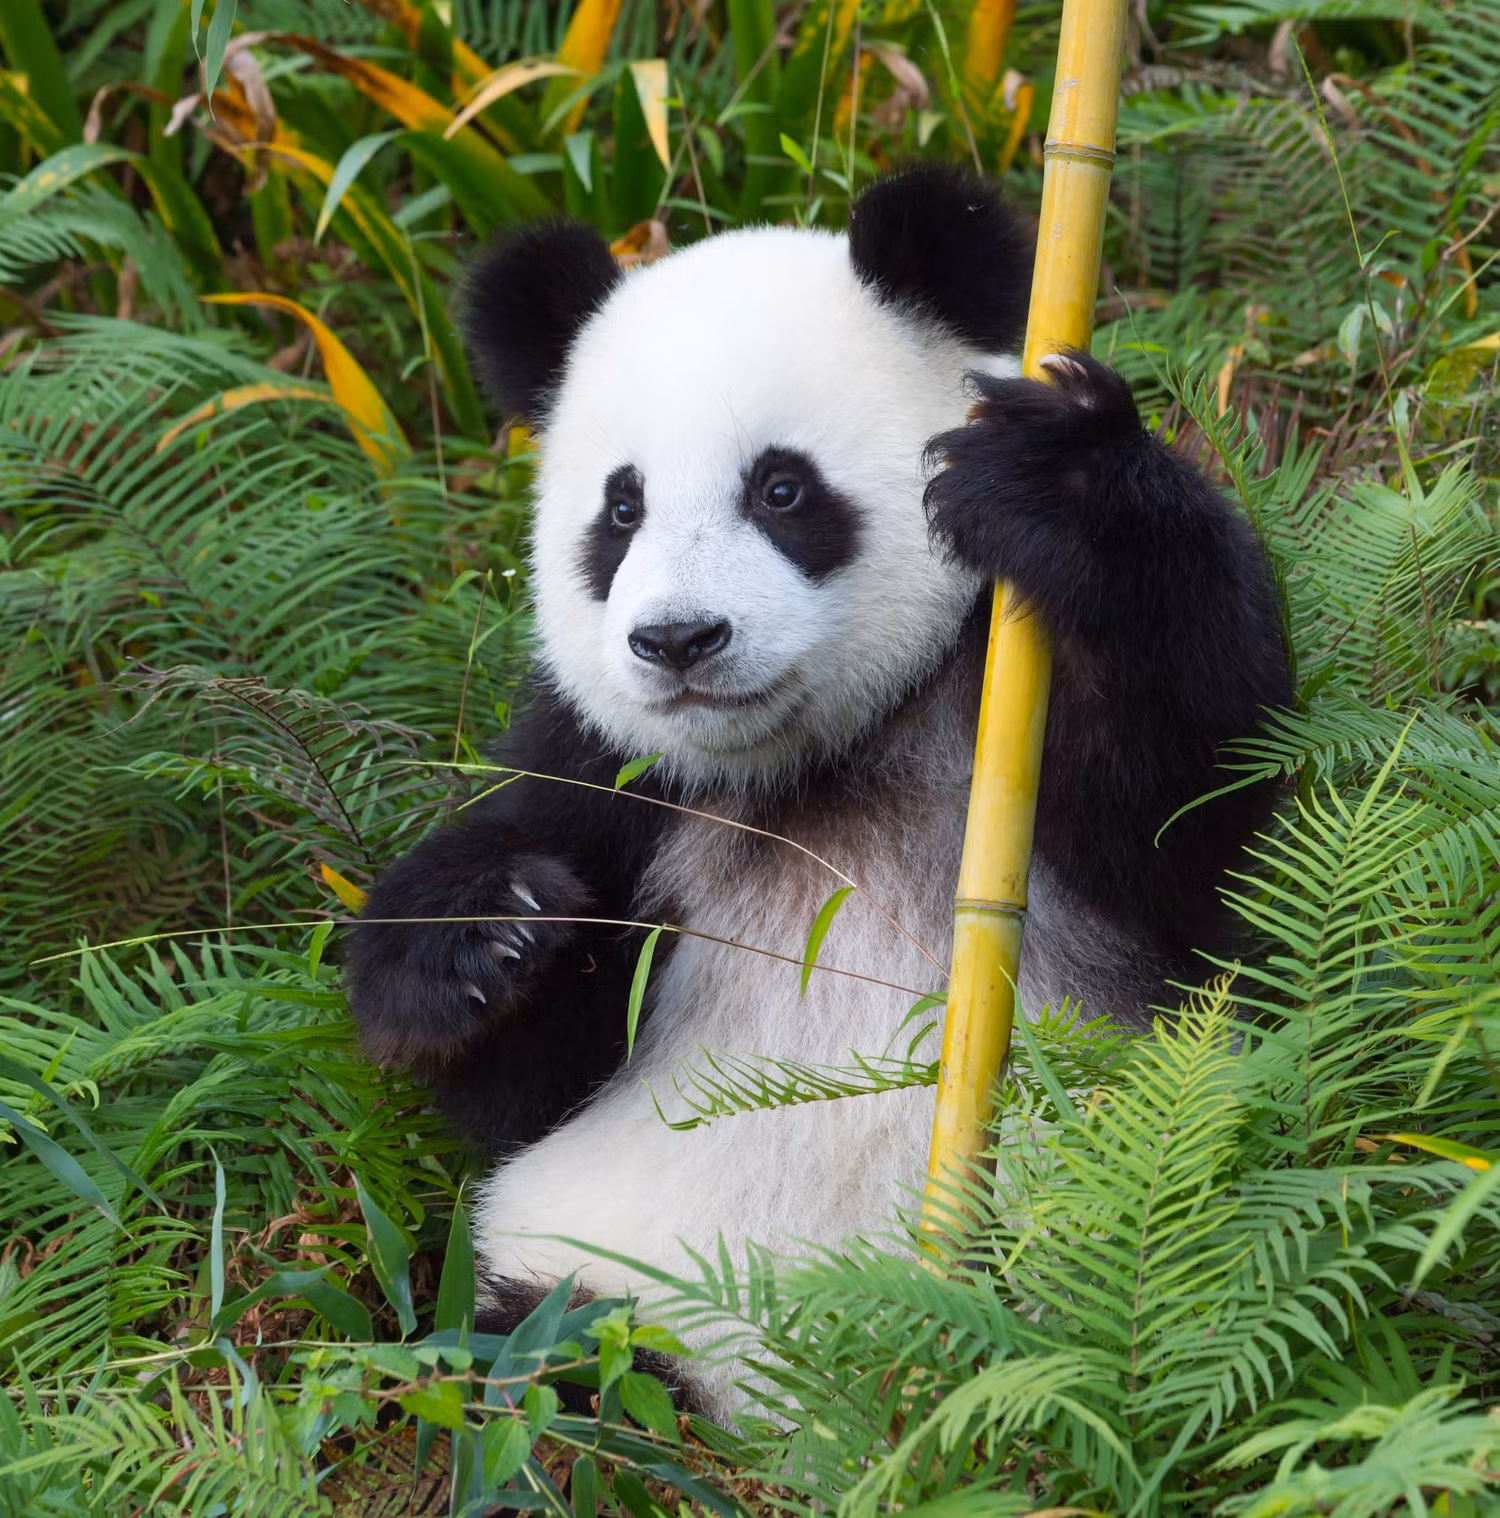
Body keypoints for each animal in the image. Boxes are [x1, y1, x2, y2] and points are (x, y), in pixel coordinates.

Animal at [347, 165, 1290, 1420]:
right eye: (621, 510)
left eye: (783, 489)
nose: (678, 640)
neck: (815, 758)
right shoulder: (613, 781)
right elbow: (517, 1088)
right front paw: (488, 933)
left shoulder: (1003, 708)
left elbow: (1206, 828)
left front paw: (1061, 477)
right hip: (587, 1280)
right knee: (500, 1361)